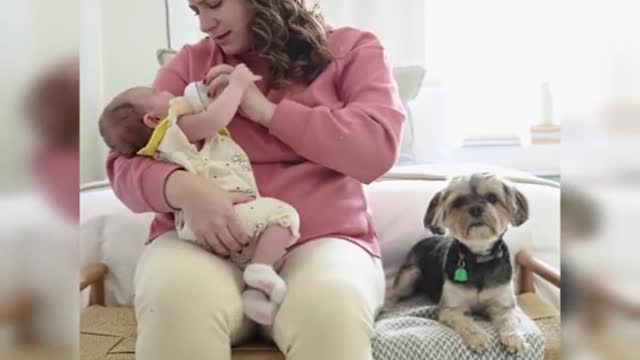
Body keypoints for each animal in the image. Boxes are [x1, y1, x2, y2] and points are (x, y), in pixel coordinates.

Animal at [388, 173, 532, 352]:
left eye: (492, 198)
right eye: (458, 202)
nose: (476, 208)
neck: (478, 259)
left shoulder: (503, 305)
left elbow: (510, 320)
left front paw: (514, 339)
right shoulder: (451, 309)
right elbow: (466, 322)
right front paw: (477, 337)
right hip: (410, 274)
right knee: (393, 293)